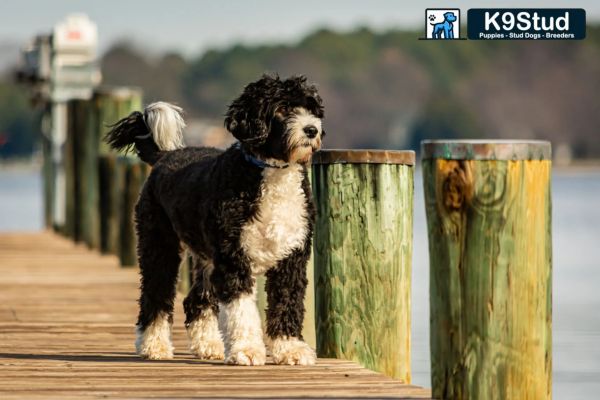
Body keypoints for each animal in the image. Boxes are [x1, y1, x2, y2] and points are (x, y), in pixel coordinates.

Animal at [105, 75, 326, 366]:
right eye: (282, 109)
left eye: (311, 108)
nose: (311, 129)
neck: (269, 172)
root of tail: (165, 156)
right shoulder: (234, 258)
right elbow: (242, 310)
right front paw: (247, 350)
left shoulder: (292, 257)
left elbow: (287, 301)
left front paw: (290, 349)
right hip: (159, 244)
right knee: (156, 294)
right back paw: (154, 345)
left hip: (206, 259)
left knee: (195, 300)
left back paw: (208, 345)